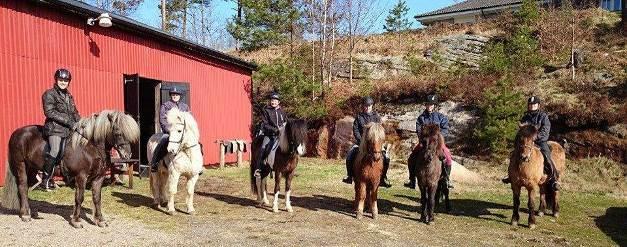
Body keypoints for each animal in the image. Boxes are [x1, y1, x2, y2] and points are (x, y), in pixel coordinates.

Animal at [2, 110, 140, 228]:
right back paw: (26, 215)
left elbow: (97, 199)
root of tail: (16, 133)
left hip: (31, 169)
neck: (90, 147)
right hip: (21, 165)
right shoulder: (81, 177)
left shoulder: (98, 178)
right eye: (118, 132)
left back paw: (25, 211)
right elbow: (79, 198)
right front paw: (76, 221)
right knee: (23, 187)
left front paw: (100, 220)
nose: (127, 155)